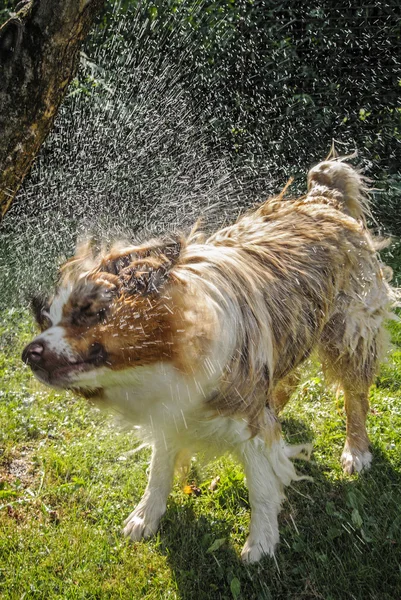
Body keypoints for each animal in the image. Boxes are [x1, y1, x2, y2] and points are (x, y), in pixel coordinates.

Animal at [21, 156, 396, 564]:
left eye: (89, 312)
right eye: (46, 320)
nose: (28, 353)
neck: (164, 360)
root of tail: (323, 198)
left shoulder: (245, 412)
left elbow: (261, 484)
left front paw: (261, 542)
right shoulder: (171, 409)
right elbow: (158, 470)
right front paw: (146, 516)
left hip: (350, 329)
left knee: (355, 396)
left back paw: (356, 450)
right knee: (287, 382)